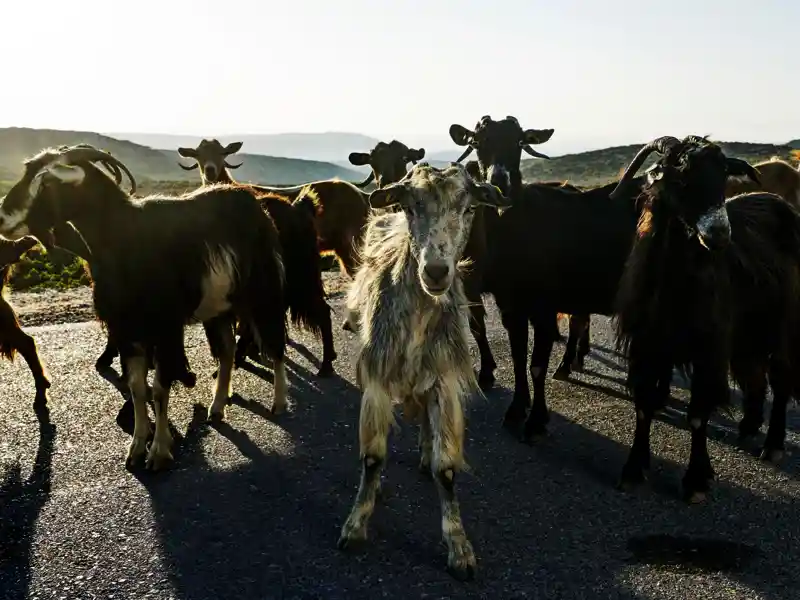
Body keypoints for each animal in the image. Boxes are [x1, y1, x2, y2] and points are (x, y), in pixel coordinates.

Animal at [175, 138, 338, 378]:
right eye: (197, 154)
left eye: (222, 153)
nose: (210, 171)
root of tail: (302, 209)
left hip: (301, 274)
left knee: (321, 311)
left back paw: (326, 365)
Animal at [338, 162, 512, 580]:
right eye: (410, 207)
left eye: (469, 208)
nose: (435, 271)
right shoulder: (377, 377)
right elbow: (373, 457)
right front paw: (356, 522)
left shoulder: (444, 379)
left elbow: (446, 468)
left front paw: (459, 547)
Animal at [608, 135, 800, 502]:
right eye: (680, 178)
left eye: (724, 177)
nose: (720, 235)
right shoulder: (647, 344)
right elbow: (643, 405)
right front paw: (634, 470)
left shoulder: (708, 348)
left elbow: (698, 415)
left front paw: (697, 480)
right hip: (746, 334)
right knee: (757, 376)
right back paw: (748, 427)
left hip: (781, 323)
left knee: (781, 377)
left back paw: (773, 445)